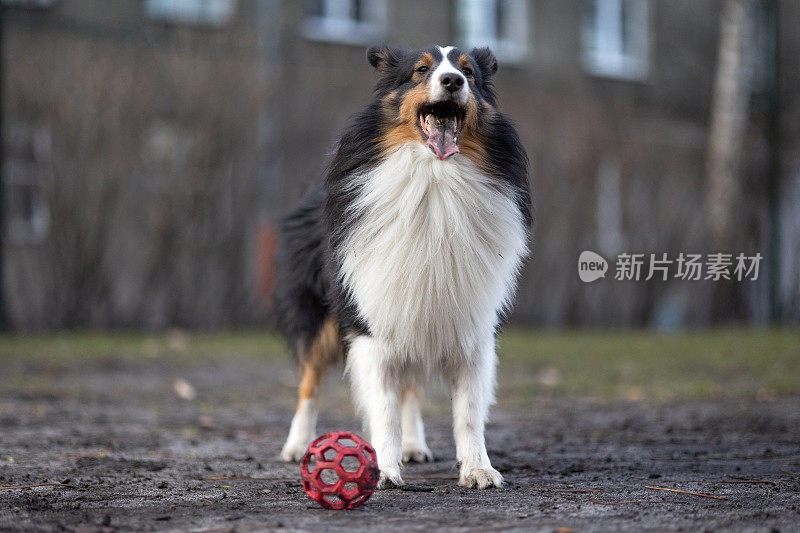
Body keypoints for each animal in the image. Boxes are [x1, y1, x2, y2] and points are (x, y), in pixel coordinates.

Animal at [276, 43, 532, 488]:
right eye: (420, 70)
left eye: (469, 72)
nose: (452, 81)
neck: (436, 178)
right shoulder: (370, 320)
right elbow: (383, 406)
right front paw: (383, 469)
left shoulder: (472, 323)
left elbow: (468, 411)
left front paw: (478, 470)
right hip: (324, 313)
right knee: (310, 380)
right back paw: (297, 446)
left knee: (410, 387)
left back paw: (414, 446)